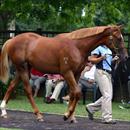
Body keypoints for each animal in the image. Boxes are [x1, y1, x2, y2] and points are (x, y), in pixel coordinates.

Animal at [0, 25, 128, 123]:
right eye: (118, 38)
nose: (125, 56)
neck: (77, 46)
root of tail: (12, 40)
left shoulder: (76, 73)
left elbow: (73, 93)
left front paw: (71, 117)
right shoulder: (67, 73)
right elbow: (77, 92)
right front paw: (67, 115)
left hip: (23, 69)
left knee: (11, 86)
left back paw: (3, 111)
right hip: (22, 68)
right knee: (27, 90)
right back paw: (38, 115)